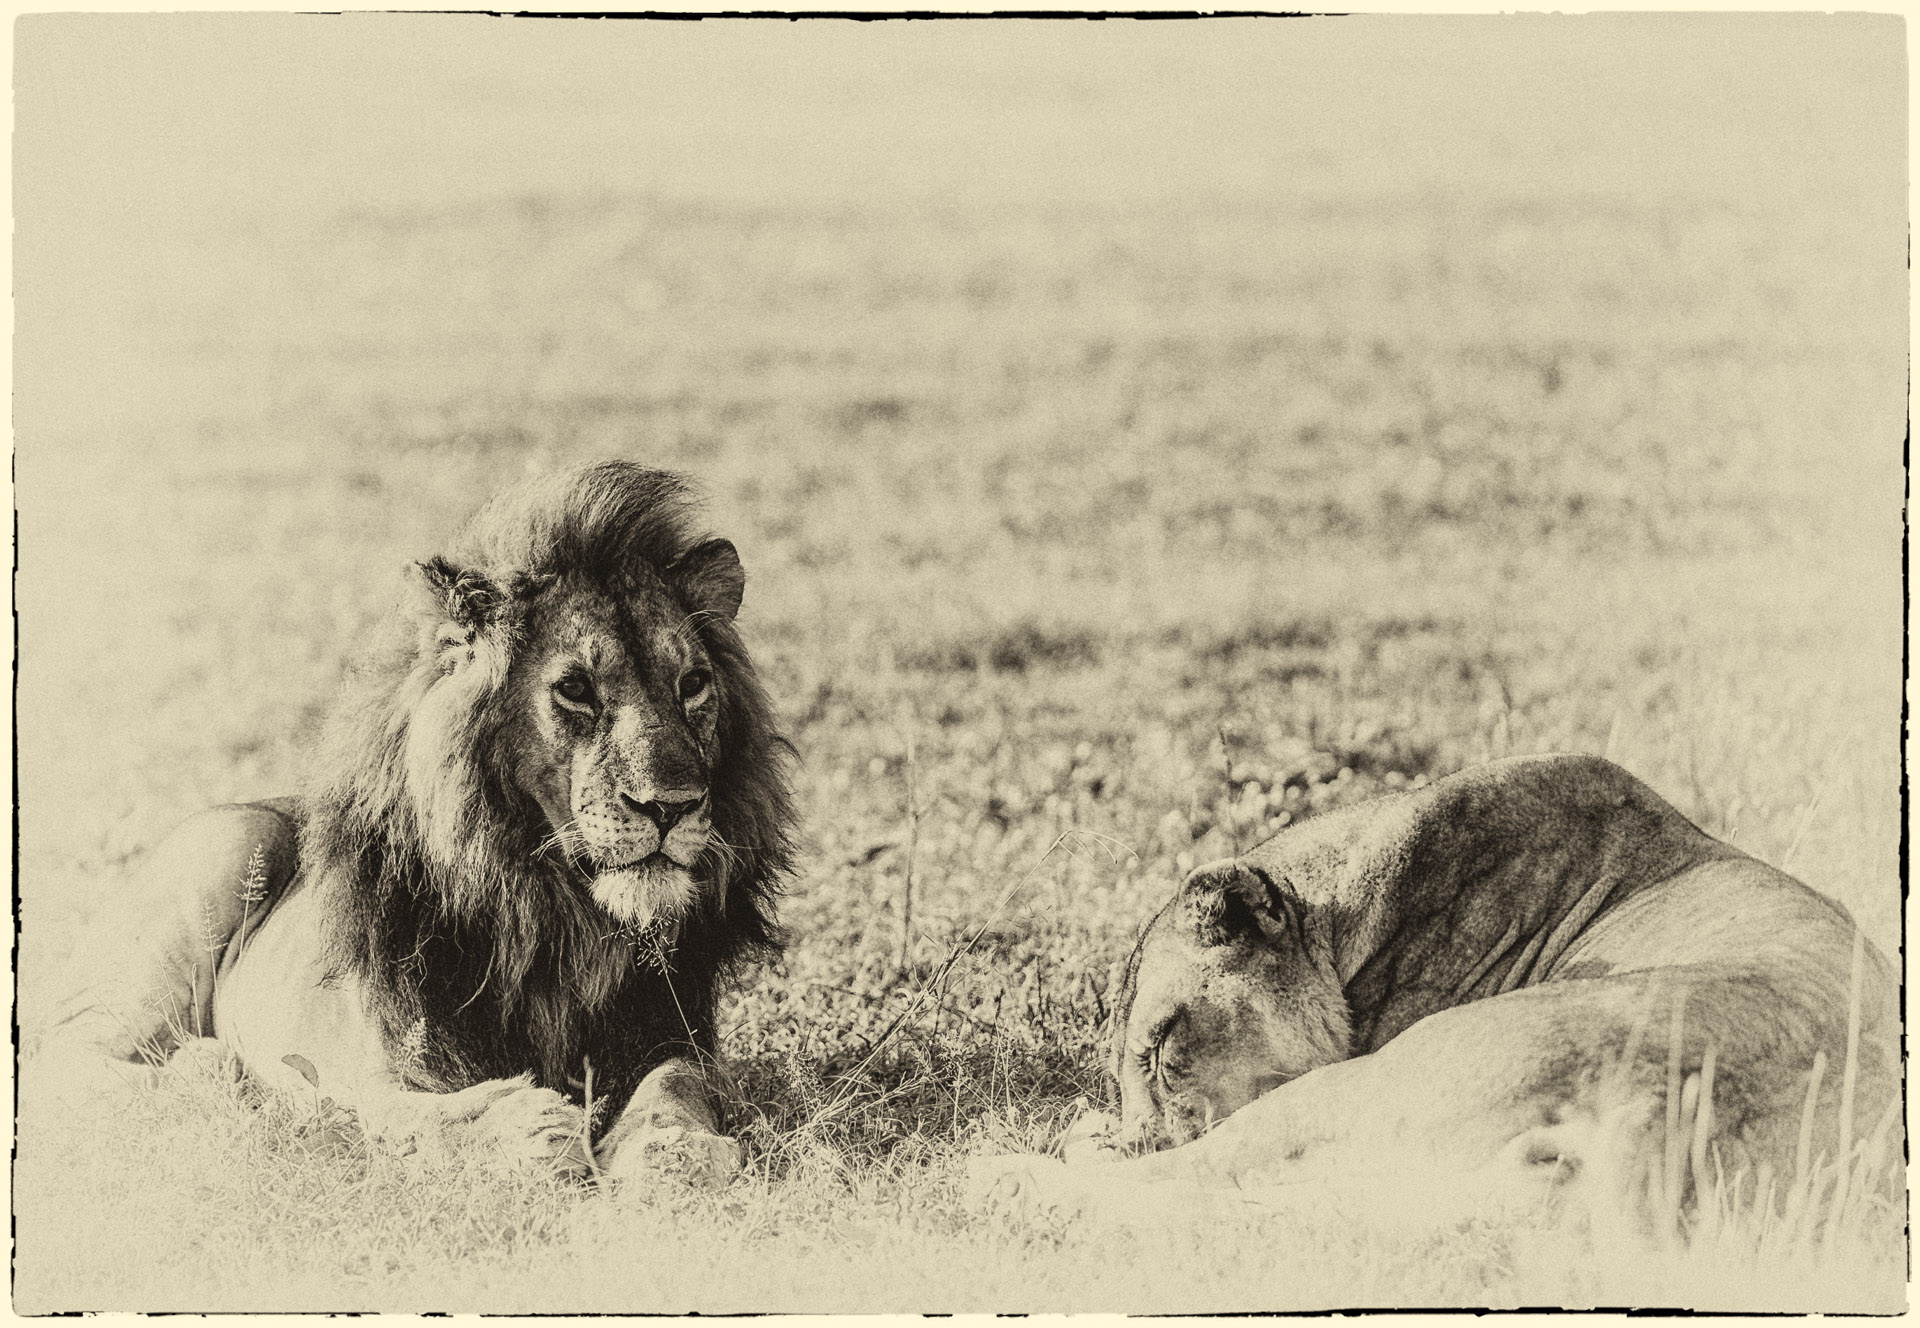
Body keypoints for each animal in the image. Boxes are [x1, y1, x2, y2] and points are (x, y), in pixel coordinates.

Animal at [38, 460, 796, 1184]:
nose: (672, 805)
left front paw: (676, 1151)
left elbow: (679, 1087)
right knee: (65, 1058)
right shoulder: (375, 1073)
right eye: (575, 689)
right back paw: (214, 1070)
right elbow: (416, 1119)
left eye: (692, 685)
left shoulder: (672, 1032)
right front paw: (535, 1129)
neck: (552, 919)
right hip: (216, 863)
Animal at [977, 754, 1899, 1233]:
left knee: (1190, 1185)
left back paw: (1014, 1175)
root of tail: (1657, 1114)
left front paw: (1096, 1140)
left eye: (1162, 1051)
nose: (1136, 1131)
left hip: (1364, 1086)